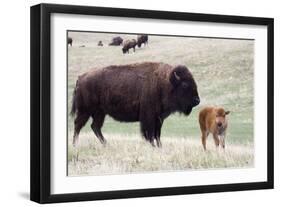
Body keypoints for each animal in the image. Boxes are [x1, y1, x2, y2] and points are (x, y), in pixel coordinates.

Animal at [71, 61, 200, 147]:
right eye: (185, 84)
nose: (197, 100)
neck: (164, 82)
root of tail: (81, 77)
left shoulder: (159, 118)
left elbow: (157, 134)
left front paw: (159, 146)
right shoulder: (149, 117)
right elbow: (150, 134)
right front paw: (153, 146)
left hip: (100, 113)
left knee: (95, 126)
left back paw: (106, 144)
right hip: (85, 110)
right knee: (78, 125)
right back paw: (75, 144)